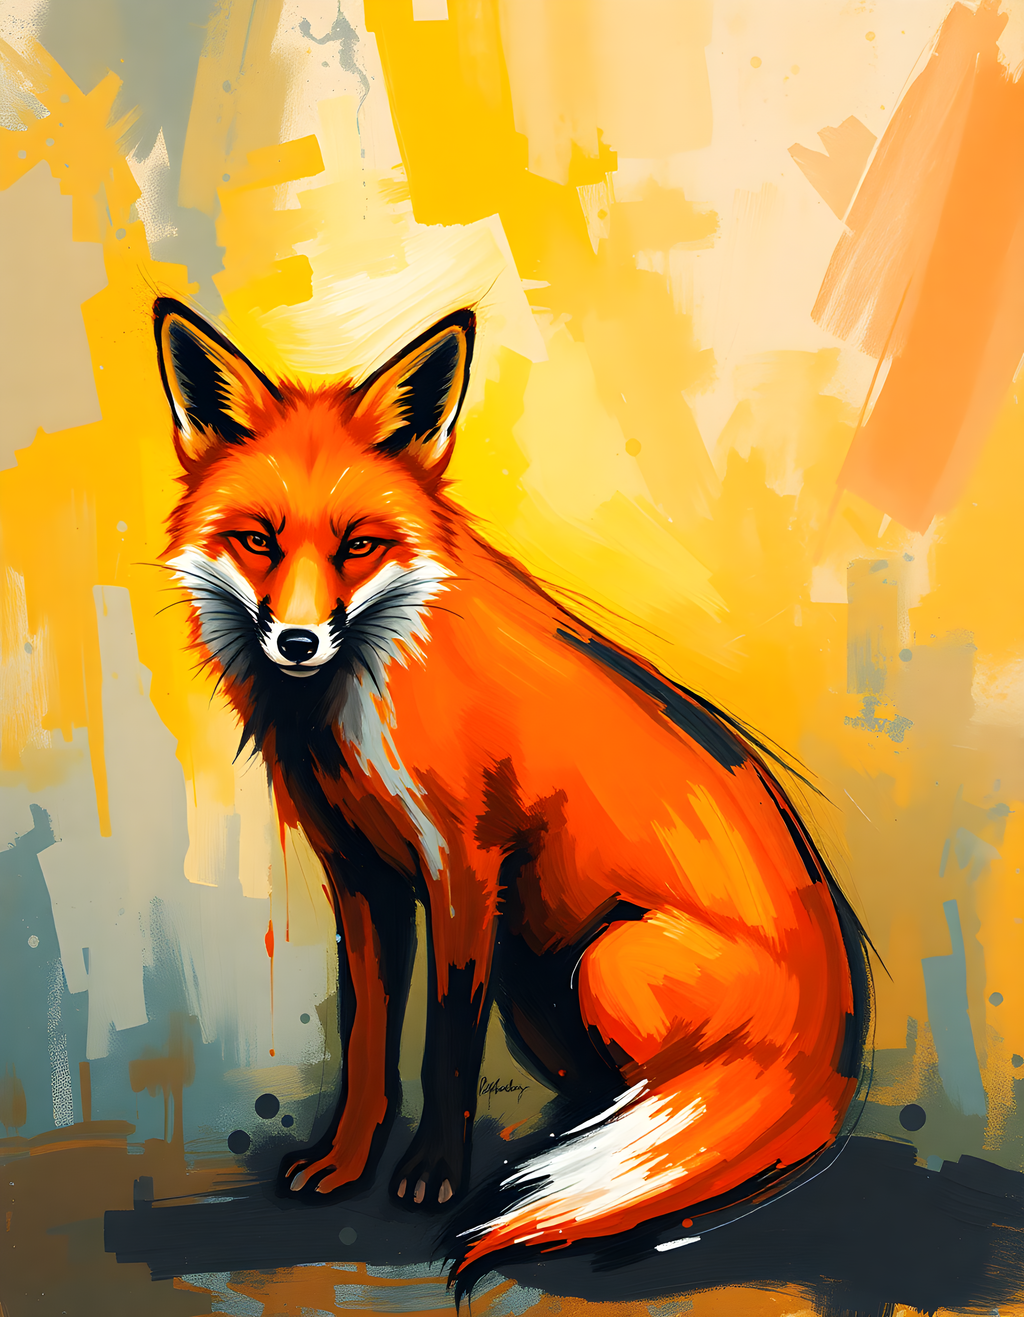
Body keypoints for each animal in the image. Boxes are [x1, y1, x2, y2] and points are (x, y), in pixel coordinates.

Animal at [155, 296, 869, 1287]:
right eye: (258, 540)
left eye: (359, 545)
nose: (297, 641)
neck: (355, 703)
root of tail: (831, 1048)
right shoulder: (360, 877)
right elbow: (369, 1040)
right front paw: (344, 1163)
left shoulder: (465, 865)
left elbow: (448, 1043)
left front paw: (430, 1179)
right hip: (542, 982)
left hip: (599, 960)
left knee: (675, 1120)